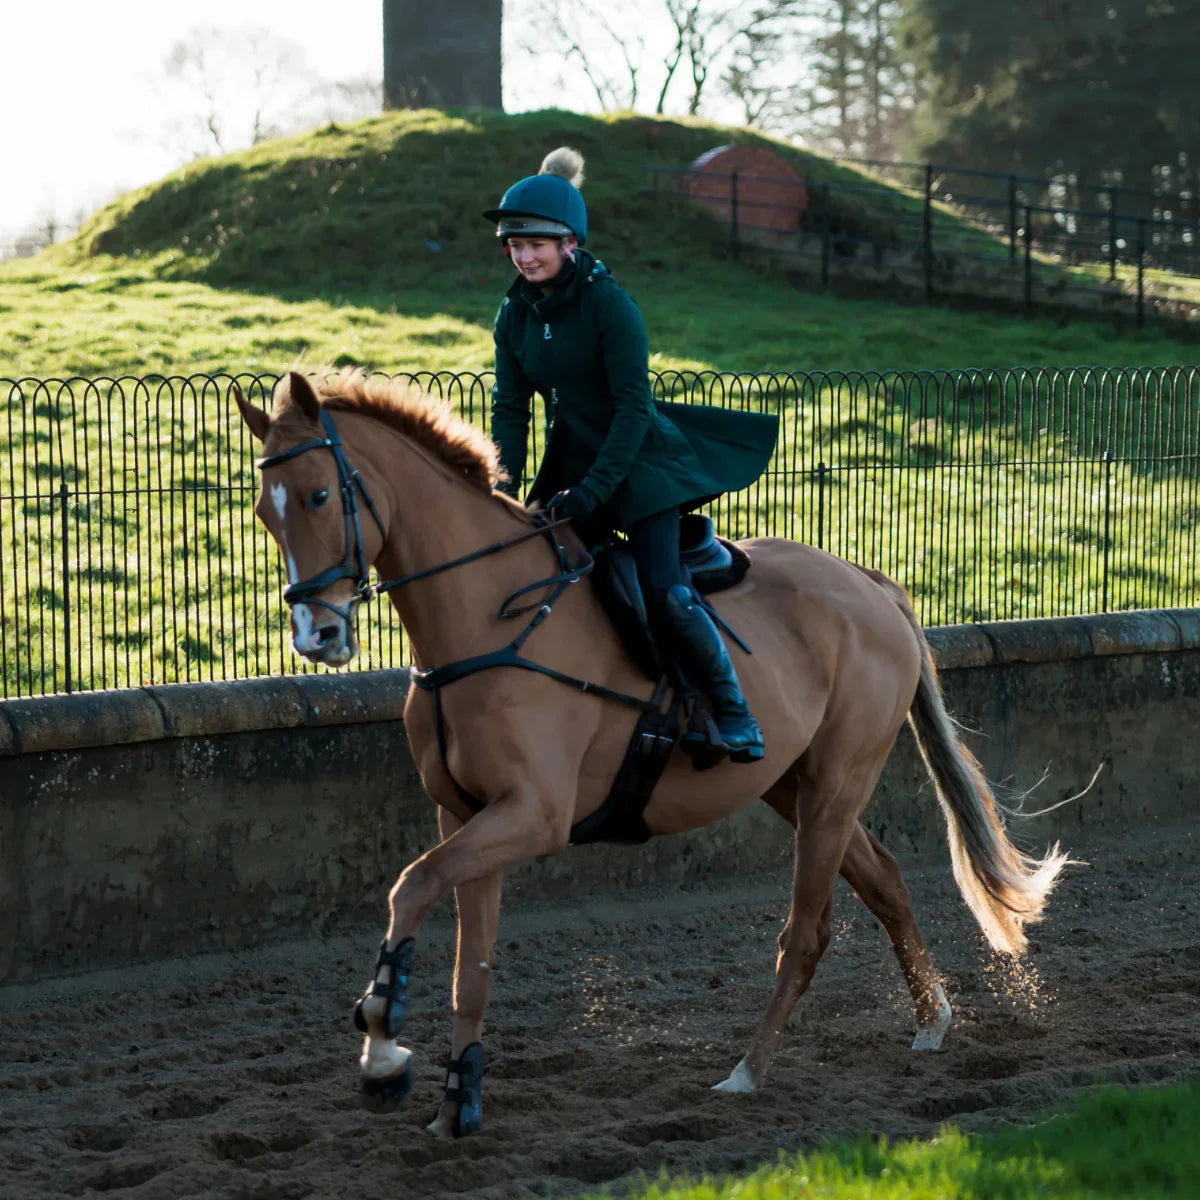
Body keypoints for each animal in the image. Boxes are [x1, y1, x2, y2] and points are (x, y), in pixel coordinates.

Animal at [235, 368, 1071, 1138]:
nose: (317, 635)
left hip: (836, 784)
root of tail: (867, 583)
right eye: (263, 512)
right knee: (887, 881)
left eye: (318, 497)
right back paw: (931, 1021)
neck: (486, 620)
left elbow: (408, 888)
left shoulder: (531, 817)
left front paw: (382, 1048)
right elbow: (470, 966)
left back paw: (747, 1072)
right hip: (794, 787)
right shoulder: (466, 817)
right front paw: (457, 1101)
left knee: (806, 934)